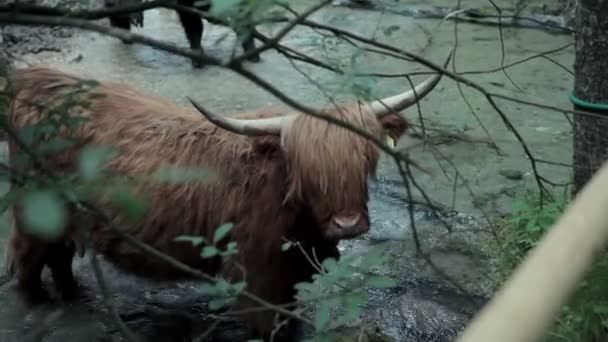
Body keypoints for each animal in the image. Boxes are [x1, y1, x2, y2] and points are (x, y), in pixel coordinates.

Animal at [2, 49, 452, 340]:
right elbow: (269, 327)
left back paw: (73, 296)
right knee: (28, 260)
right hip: (33, 209)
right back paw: (39, 303)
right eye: (309, 170)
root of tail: (34, 80)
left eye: (365, 158)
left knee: (59, 255)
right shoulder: (259, 274)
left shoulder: (292, 271)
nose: (347, 223)